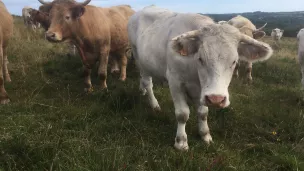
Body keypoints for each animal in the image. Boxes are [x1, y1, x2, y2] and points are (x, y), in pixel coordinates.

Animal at [127, 5, 274, 150]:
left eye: (234, 61)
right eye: (200, 58)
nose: (216, 99)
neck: (194, 72)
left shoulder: (202, 90)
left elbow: (203, 112)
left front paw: (205, 135)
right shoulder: (175, 82)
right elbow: (182, 114)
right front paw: (181, 141)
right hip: (140, 59)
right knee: (147, 82)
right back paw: (154, 103)